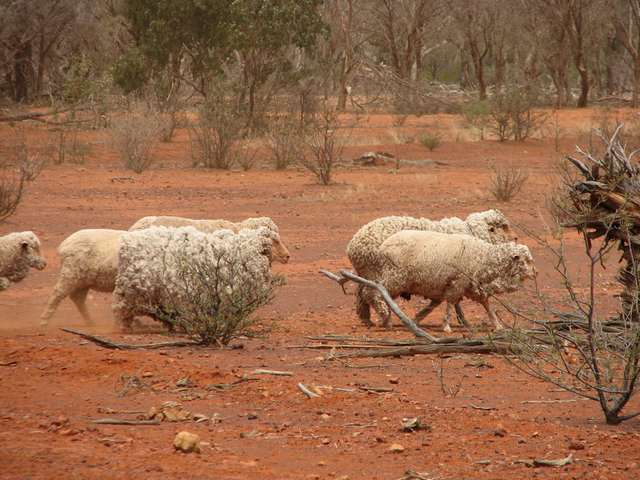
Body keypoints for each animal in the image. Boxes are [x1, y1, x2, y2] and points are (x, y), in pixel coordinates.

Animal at [344, 210, 516, 326]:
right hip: (380, 274)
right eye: (503, 227)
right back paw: (385, 318)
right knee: (370, 294)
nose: (515, 238)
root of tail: (353, 245)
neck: (471, 232)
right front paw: (462, 320)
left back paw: (366, 319)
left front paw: (461, 320)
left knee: (361, 295)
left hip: (367, 274)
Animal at [364, 231, 536, 332]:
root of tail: (382, 246)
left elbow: (486, 305)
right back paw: (386, 319)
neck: (484, 257)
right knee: (373, 292)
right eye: (525, 260)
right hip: (394, 277)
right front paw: (446, 326)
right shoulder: (458, 283)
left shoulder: (469, 286)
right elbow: (450, 304)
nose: (536, 273)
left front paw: (497, 324)